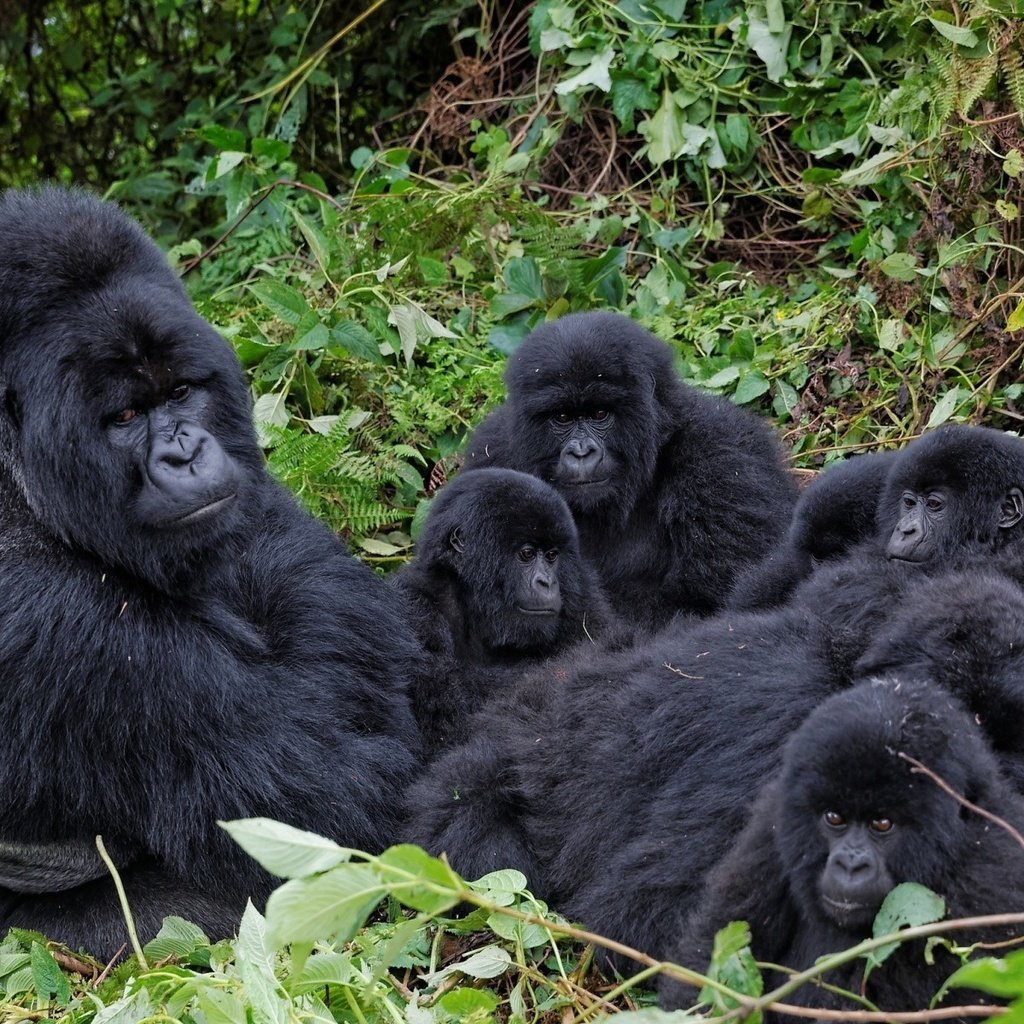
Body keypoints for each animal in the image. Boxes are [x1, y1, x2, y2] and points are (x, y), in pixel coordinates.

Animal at [391, 468, 614, 757]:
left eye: (552, 556)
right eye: (527, 554)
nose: (547, 582)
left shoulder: (582, 597)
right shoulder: (415, 604)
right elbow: (447, 715)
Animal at [464, 313, 798, 630]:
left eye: (600, 414)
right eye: (562, 417)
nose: (581, 452)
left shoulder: (721, 456)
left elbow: (709, 602)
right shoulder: (493, 451)